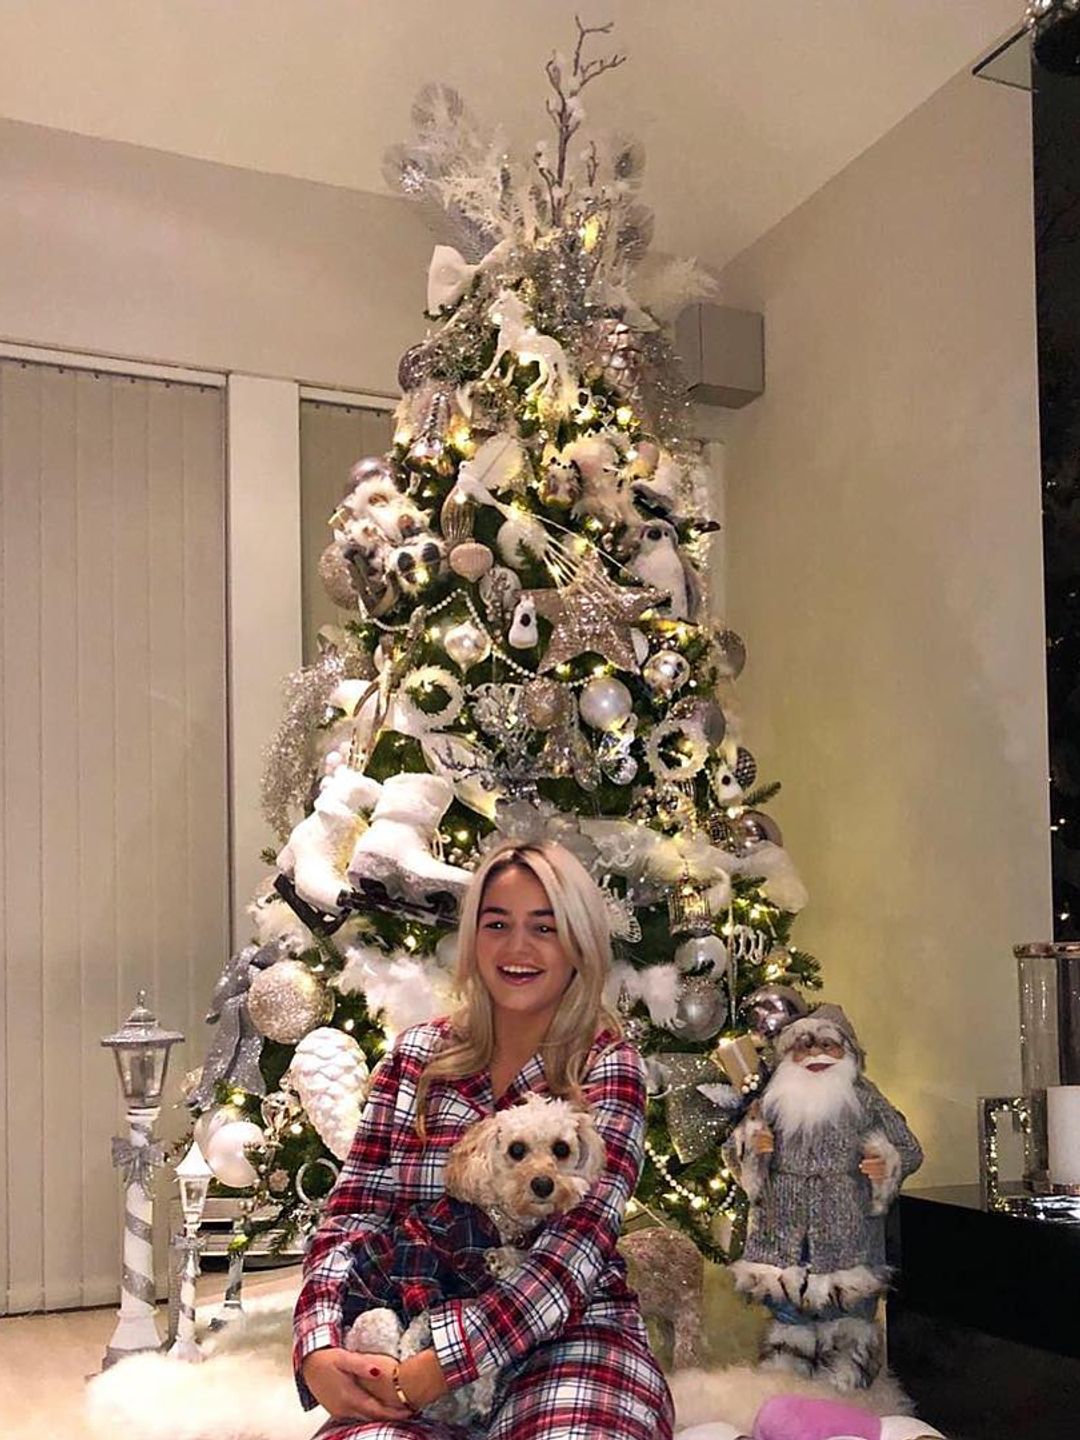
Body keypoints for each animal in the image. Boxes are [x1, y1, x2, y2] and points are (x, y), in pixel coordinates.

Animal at [351, 1094, 613, 1422]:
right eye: (516, 1149)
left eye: (561, 1149)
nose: (543, 1184)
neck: (499, 1220)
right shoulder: (418, 1243)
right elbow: (423, 1316)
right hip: (376, 1319)